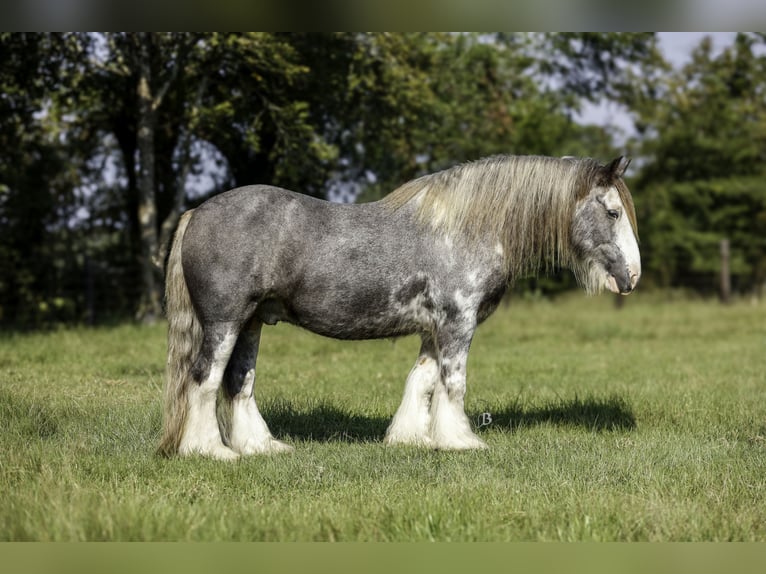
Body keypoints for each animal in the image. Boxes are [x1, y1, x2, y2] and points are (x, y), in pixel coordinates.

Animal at [160, 155, 640, 462]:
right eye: (613, 212)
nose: (633, 275)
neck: (467, 227)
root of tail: (196, 212)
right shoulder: (457, 323)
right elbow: (453, 383)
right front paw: (460, 441)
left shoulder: (433, 329)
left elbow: (421, 381)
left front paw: (411, 439)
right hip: (225, 321)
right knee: (204, 379)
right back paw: (210, 451)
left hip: (253, 322)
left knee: (238, 382)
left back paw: (260, 447)